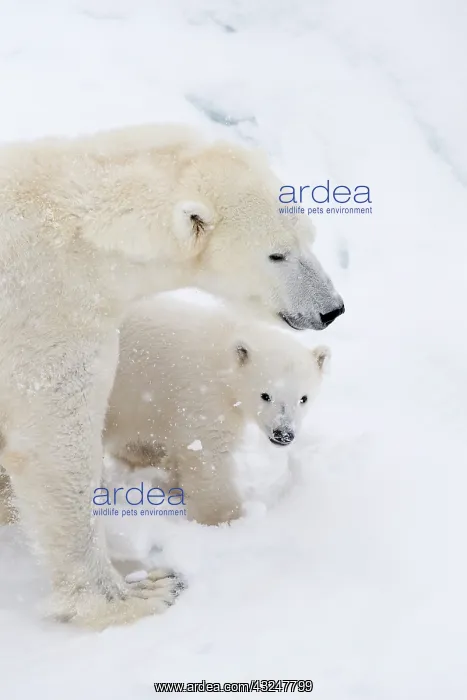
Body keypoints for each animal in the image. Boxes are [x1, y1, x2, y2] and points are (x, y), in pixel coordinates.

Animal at [104, 295, 330, 526]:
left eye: (303, 398)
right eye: (265, 395)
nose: (283, 434)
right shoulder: (205, 393)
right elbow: (209, 451)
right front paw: (225, 518)